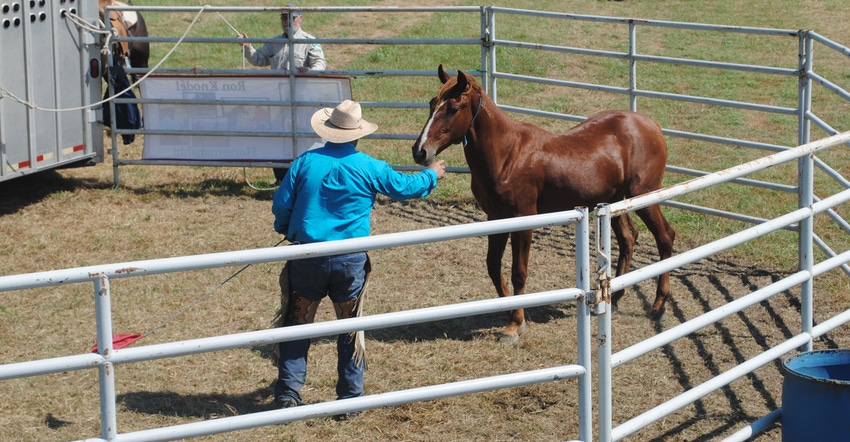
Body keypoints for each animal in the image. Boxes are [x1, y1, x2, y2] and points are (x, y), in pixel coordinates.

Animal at [410, 65, 676, 344]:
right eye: (432, 103)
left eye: (453, 108)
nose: (420, 151)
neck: (508, 155)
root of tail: (651, 125)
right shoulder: (495, 218)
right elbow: (493, 266)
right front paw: (511, 313)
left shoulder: (523, 221)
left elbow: (518, 271)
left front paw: (515, 324)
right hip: (614, 202)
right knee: (628, 238)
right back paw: (614, 297)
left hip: (646, 197)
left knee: (665, 237)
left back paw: (659, 306)